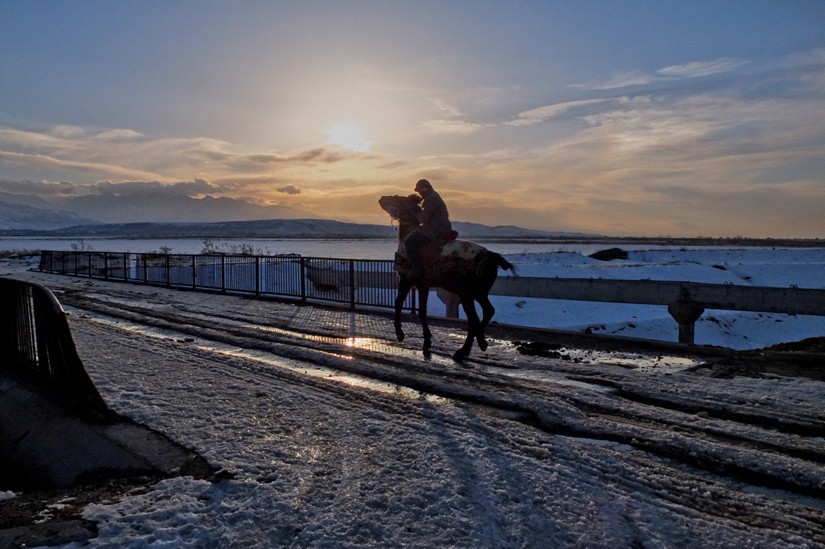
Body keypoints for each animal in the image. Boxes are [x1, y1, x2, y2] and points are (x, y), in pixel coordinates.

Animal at [378, 195, 516, 362]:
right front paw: (427, 340)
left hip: (466, 295)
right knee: (488, 311)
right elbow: (422, 311)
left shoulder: (405, 281)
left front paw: (400, 333)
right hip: (479, 293)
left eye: (396, 197)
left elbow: (398, 303)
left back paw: (462, 351)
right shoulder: (423, 285)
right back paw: (481, 341)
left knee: (474, 320)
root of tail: (490, 257)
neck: (406, 237)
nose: (381, 198)